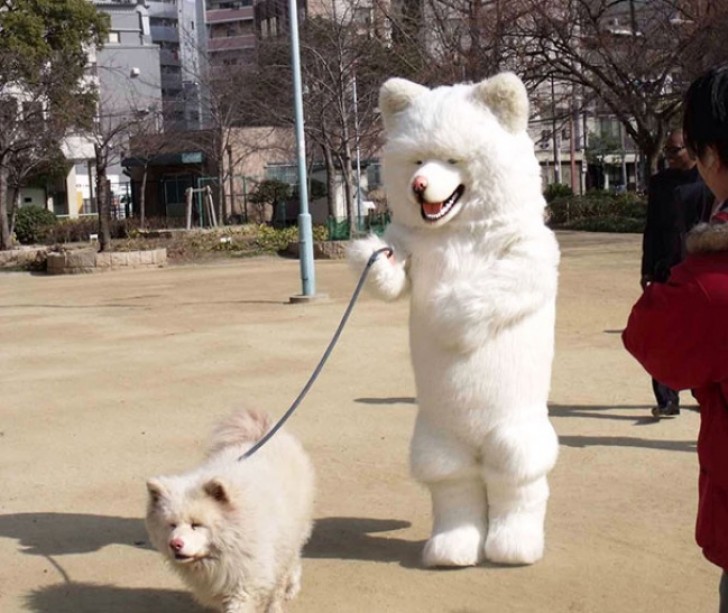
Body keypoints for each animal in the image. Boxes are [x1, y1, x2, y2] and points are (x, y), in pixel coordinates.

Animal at [145, 406, 316, 612]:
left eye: (196, 525)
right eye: (171, 525)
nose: (175, 544)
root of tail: (259, 431)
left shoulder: (246, 582)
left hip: (289, 538)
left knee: (285, 573)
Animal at [350, 74, 560, 568]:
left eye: (451, 159)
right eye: (417, 159)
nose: (419, 184)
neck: (460, 232)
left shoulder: (532, 252)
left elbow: (504, 284)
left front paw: (446, 314)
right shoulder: (407, 244)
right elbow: (393, 279)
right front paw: (372, 259)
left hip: (514, 430)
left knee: (515, 478)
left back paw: (513, 547)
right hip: (439, 436)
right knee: (454, 482)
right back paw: (453, 548)